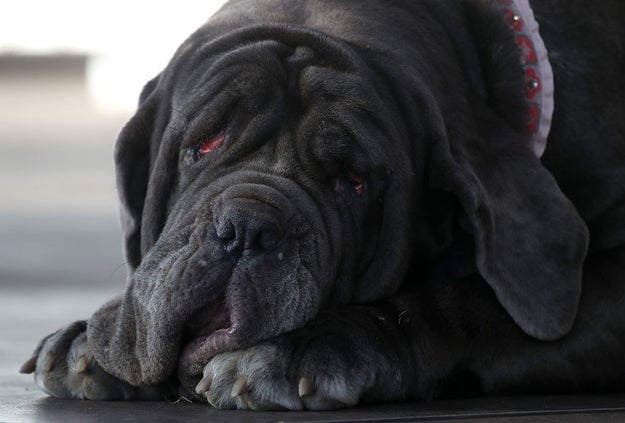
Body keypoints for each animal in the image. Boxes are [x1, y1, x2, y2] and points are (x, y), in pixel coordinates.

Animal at [20, 0, 624, 412]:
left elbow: (466, 304)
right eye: (204, 144)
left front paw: (304, 350)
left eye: (353, 181)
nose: (245, 228)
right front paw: (88, 339)